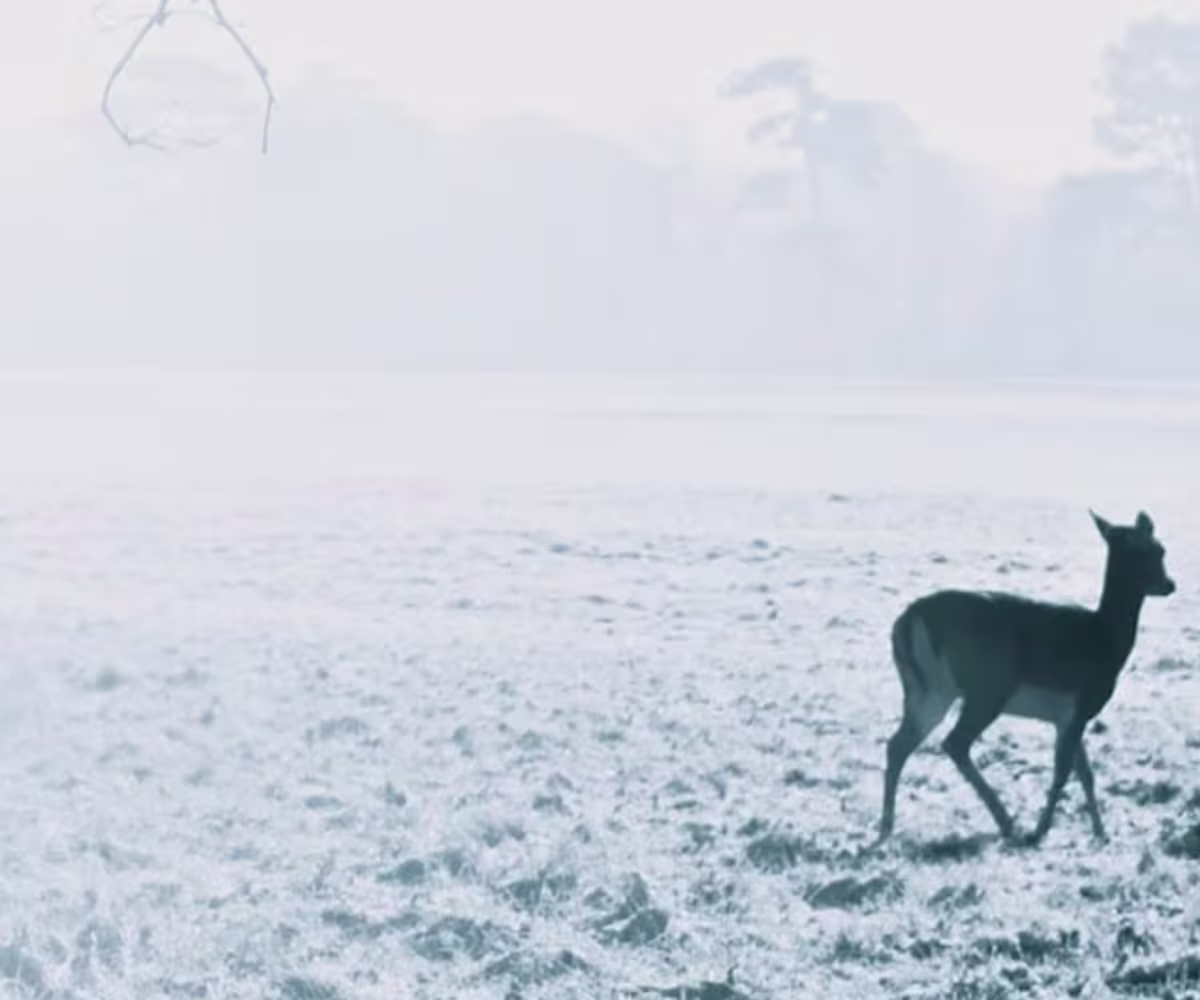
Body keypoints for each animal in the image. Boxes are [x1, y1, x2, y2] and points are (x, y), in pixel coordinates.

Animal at [877, 509, 1175, 848]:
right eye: (1136, 552)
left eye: (1160, 549)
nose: (1168, 584)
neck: (1104, 640)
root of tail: (906, 622)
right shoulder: (1080, 704)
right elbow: (1062, 773)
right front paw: (1040, 831)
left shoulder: (1067, 717)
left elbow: (1085, 773)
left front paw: (1101, 833)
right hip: (986, 687)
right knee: (954, 742)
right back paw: (1008, 824)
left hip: (923, 689)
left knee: (898, 744)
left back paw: (886, 827)